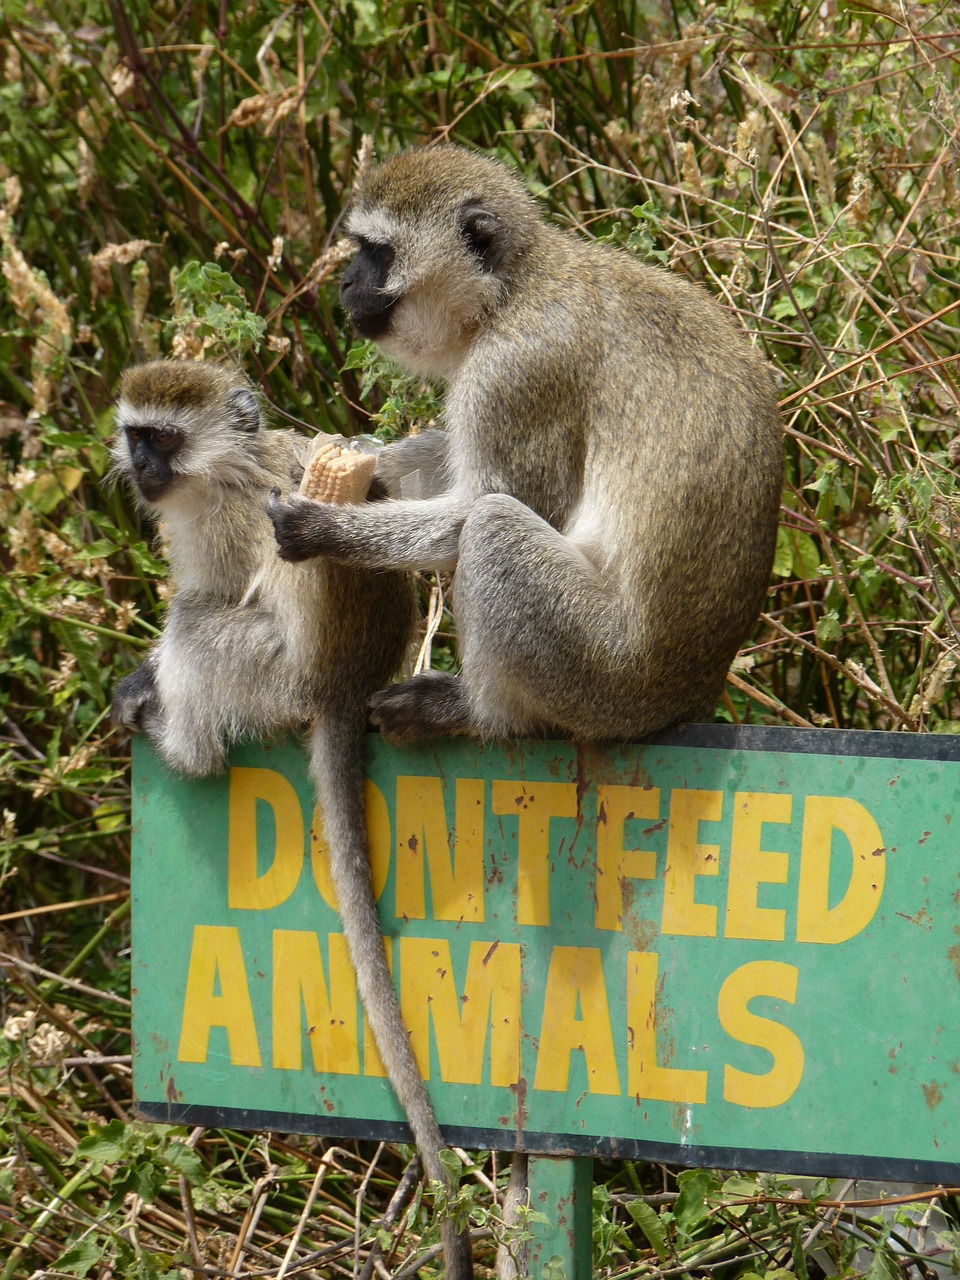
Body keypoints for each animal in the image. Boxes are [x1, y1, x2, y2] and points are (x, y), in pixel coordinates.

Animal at [110, 360, 476, 1280]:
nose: (144, 468)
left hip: (269, 676)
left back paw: (179, 742)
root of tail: (343, 684)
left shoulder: (222, 528)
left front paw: (147, 687)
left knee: (196, 628)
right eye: (137, 434)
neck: (220, 469)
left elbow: (213, 593)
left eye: (164, 438)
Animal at [267, 147, 783, 747]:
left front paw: (322, 527)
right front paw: (349, 466)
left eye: (379, 252)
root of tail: (687, 695)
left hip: (599, 678)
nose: (346, 283)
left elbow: (493, 506)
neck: (509, 291)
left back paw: (474, 712)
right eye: (360, 250)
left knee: (493, 528)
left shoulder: (515, 373)